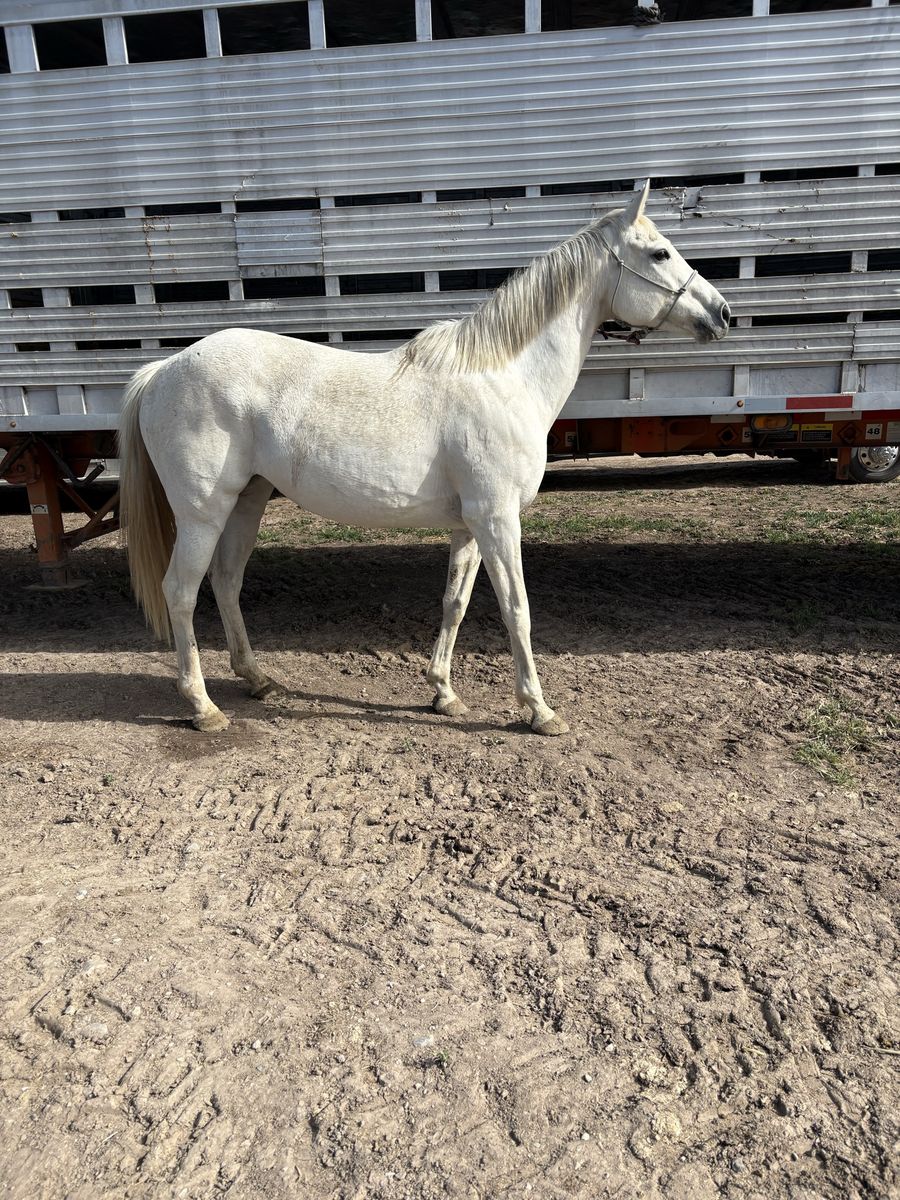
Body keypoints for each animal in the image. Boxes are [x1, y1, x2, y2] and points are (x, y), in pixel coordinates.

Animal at [119, 182, 730, 734]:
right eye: (660, 253)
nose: (722, 313)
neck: (502, 378)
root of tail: (163, 370)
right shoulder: (498, 519)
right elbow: (517, 608)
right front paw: (539, 710)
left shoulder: (470, 525)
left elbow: (454, 602)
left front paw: (443, 693)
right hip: (203, 513)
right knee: (182, 591)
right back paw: (203, 707)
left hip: (247, 501)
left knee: (225, 581)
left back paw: (257, 680)